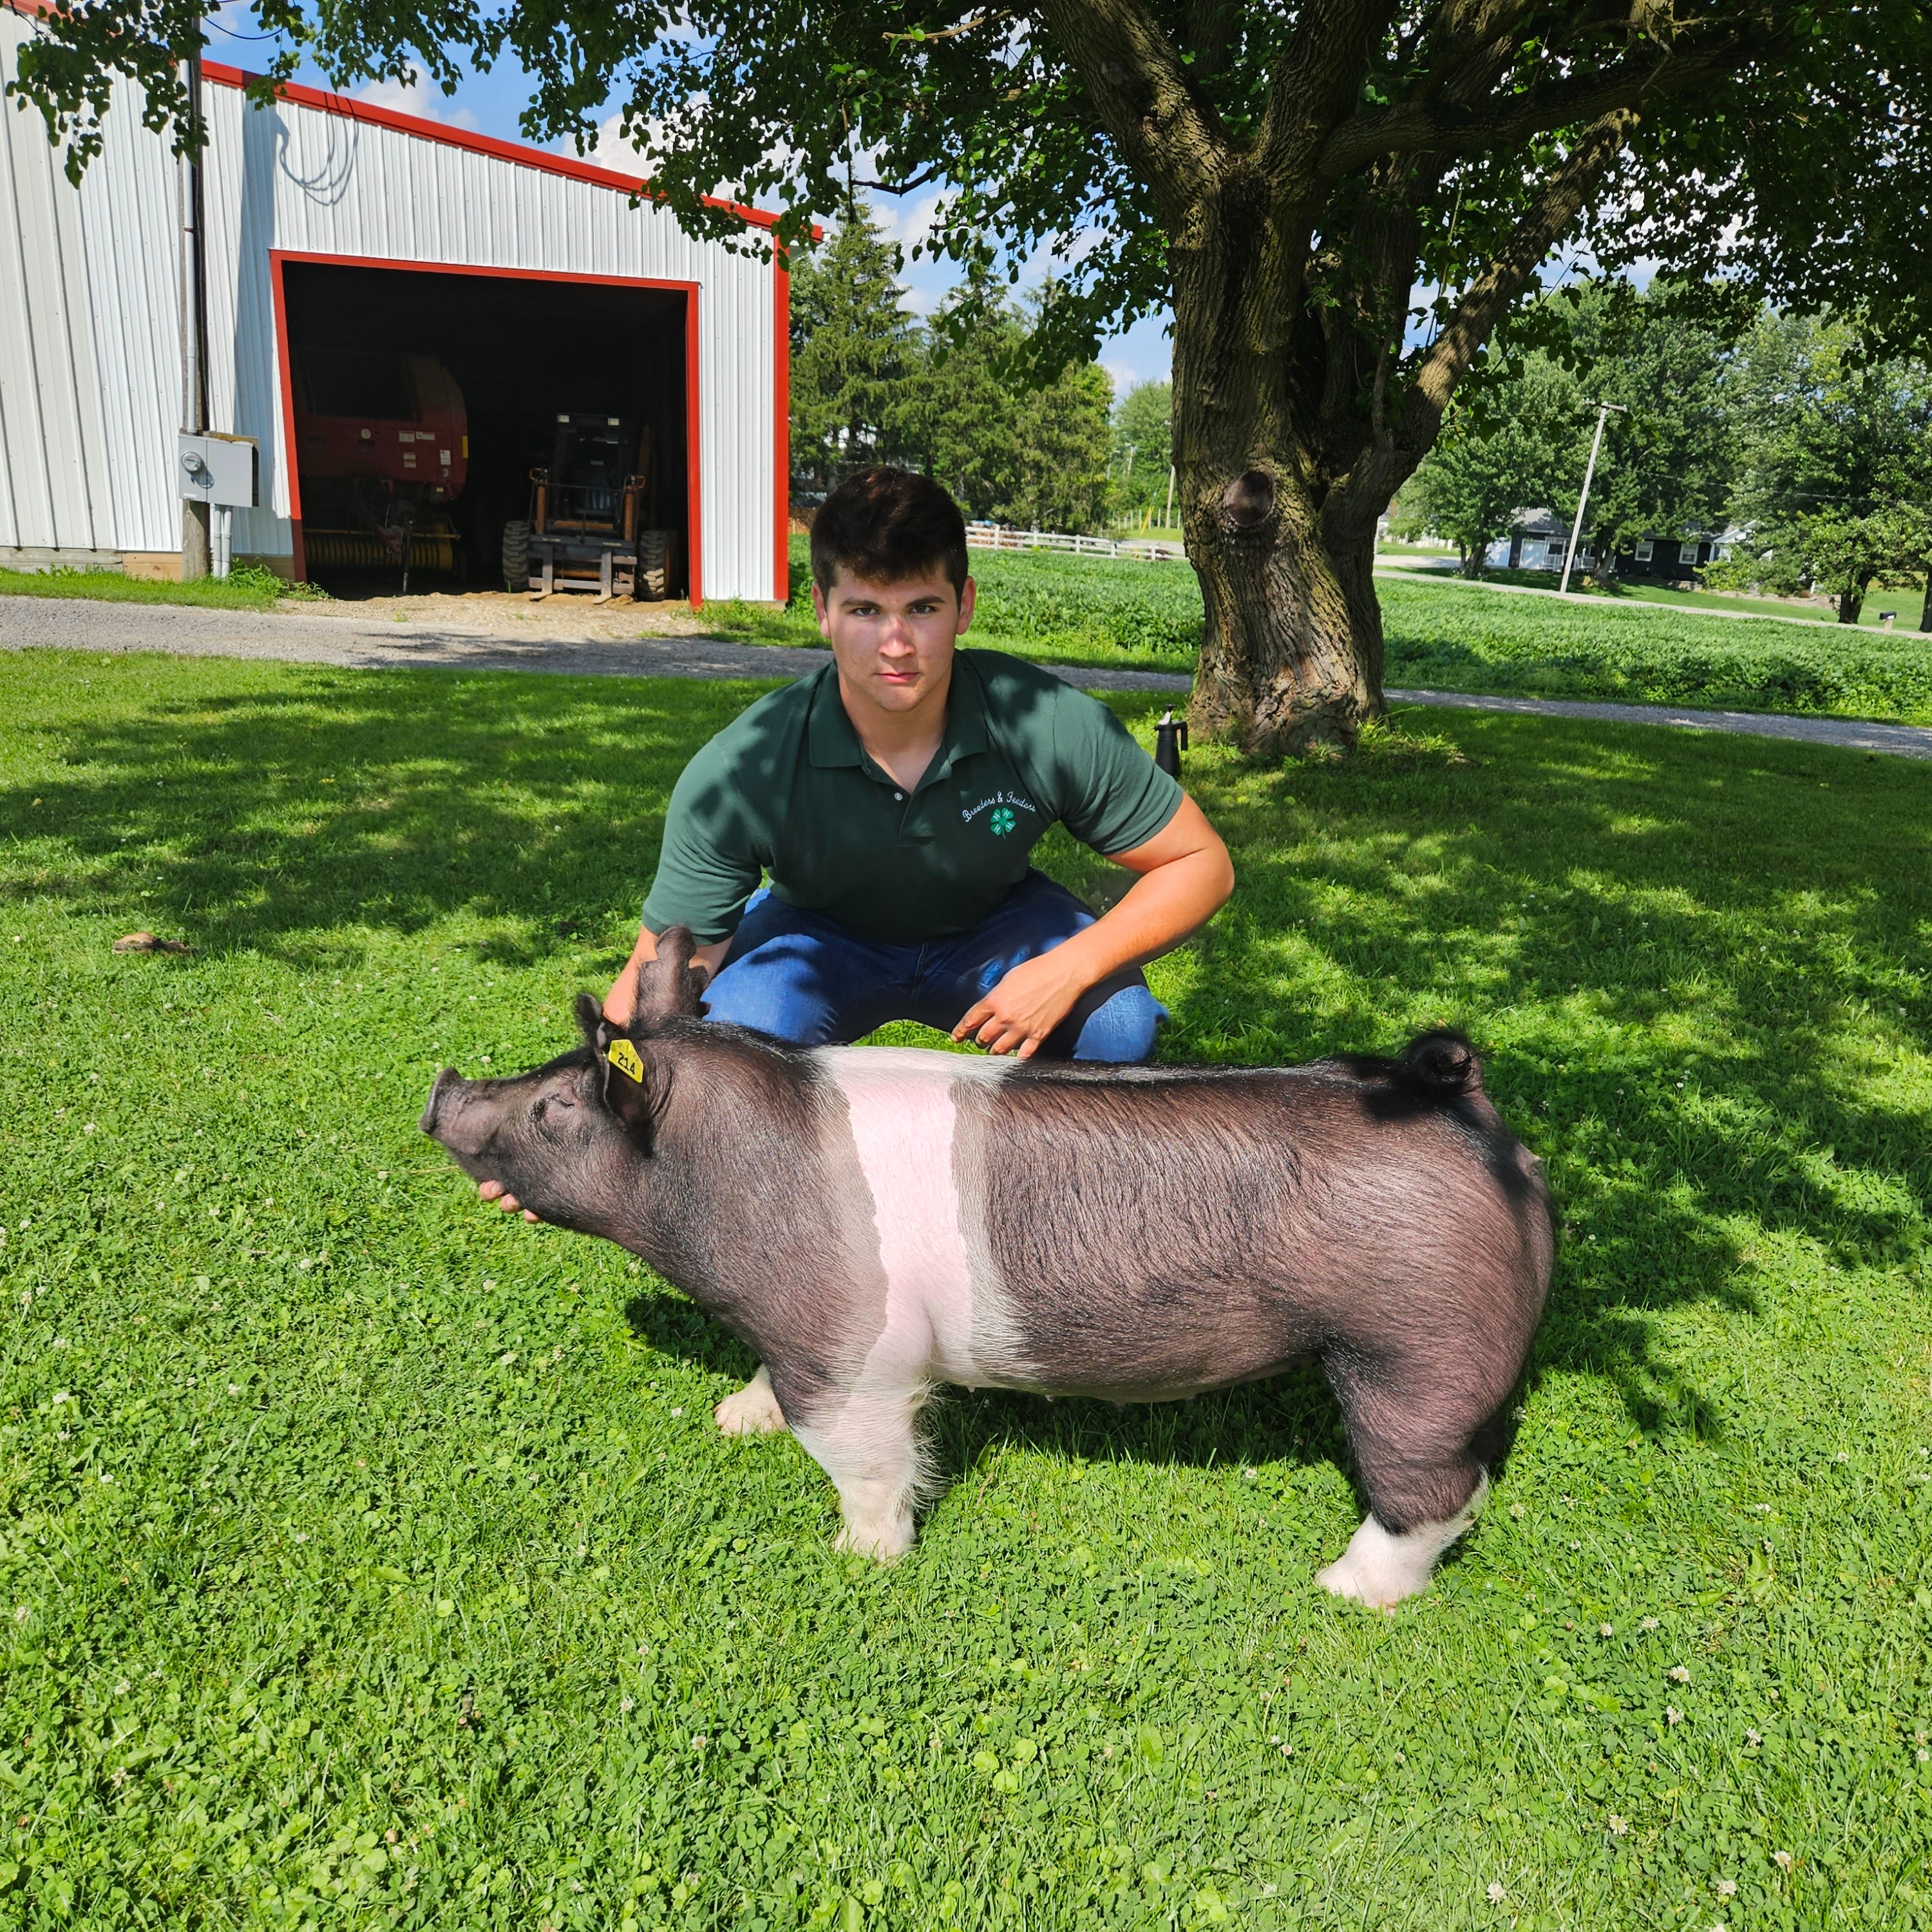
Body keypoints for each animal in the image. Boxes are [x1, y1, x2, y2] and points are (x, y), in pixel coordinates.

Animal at [423, 927, 1553, 1607]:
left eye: (555, 1107)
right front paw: (733, 1419)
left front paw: (860, 1562)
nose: (441, 1089)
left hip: (1413, 1350)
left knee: (1442, 1488)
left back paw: (1341, 1587)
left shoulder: (853, 1358)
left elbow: (865, 1461)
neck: (719, 1177)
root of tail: (1464, 1106)